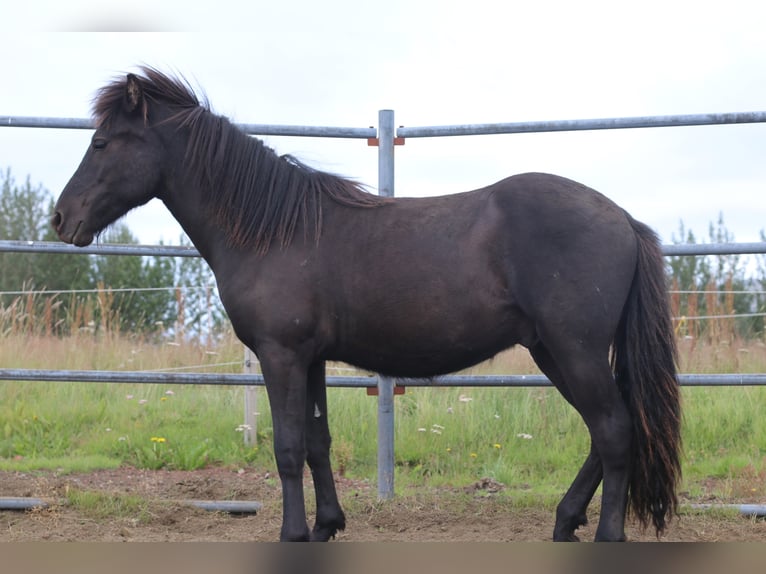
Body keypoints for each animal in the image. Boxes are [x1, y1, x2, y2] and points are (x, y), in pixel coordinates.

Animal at [51, 66, 681, 542]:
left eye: (101, 143)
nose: (62, 219)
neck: (273, 230)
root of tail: (623, 219)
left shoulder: (281, 355)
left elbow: (286, 447)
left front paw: (292, 534)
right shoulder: (310, 358)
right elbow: (317, 442)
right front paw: (327, 525)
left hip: (573, 350)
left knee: (614, 430)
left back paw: (604, 535)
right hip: (553, 351)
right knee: (608, 431)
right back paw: (565, 521)